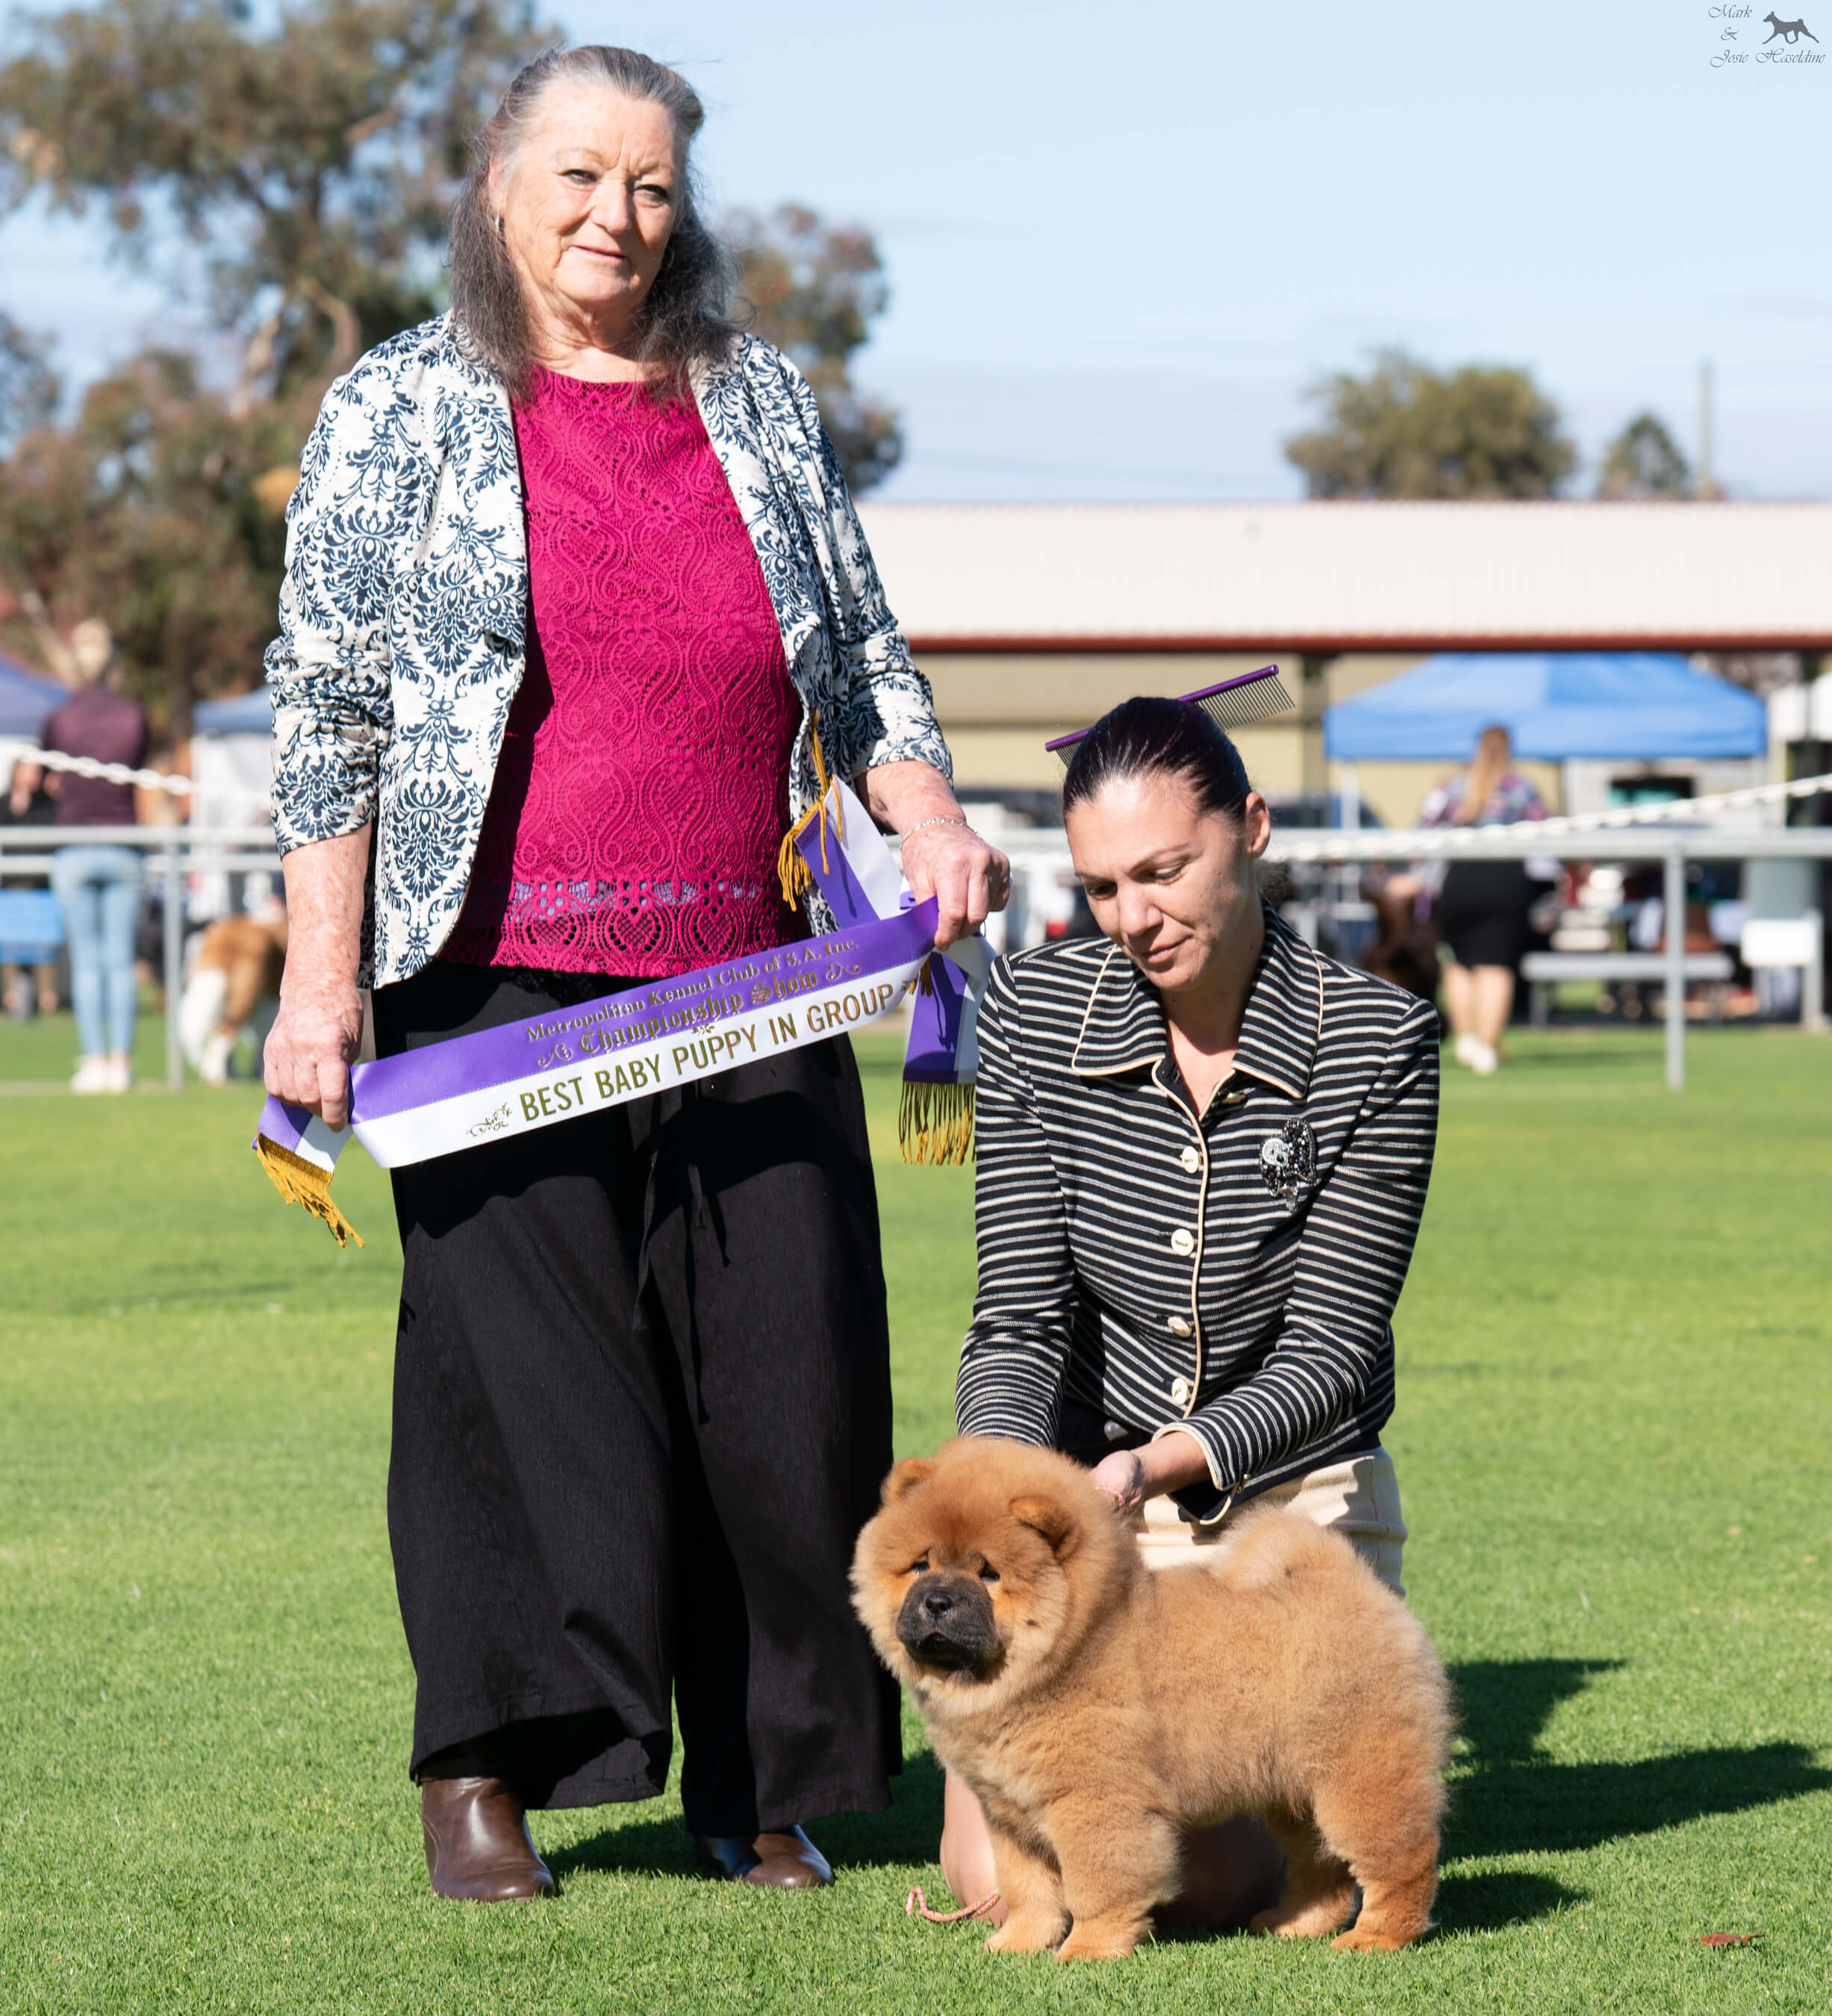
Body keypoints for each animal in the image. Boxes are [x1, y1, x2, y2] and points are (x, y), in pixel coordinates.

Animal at [851, 1438, 1452, 1961]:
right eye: (921, 1565)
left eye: (990, 1574)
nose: (936, 1601)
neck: (1073, 1646)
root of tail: (1354, 1586)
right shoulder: (1010, 1815)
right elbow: (1029, 1889)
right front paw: (1019, 1944)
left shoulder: (1094, 1803)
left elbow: (1097, 1888)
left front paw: (1088, 1951)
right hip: (1294, 1795)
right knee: (1321, 1869)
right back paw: (1294, 1925)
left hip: (1359, 1778)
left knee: (1402, 1862)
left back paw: (1376, 1938)